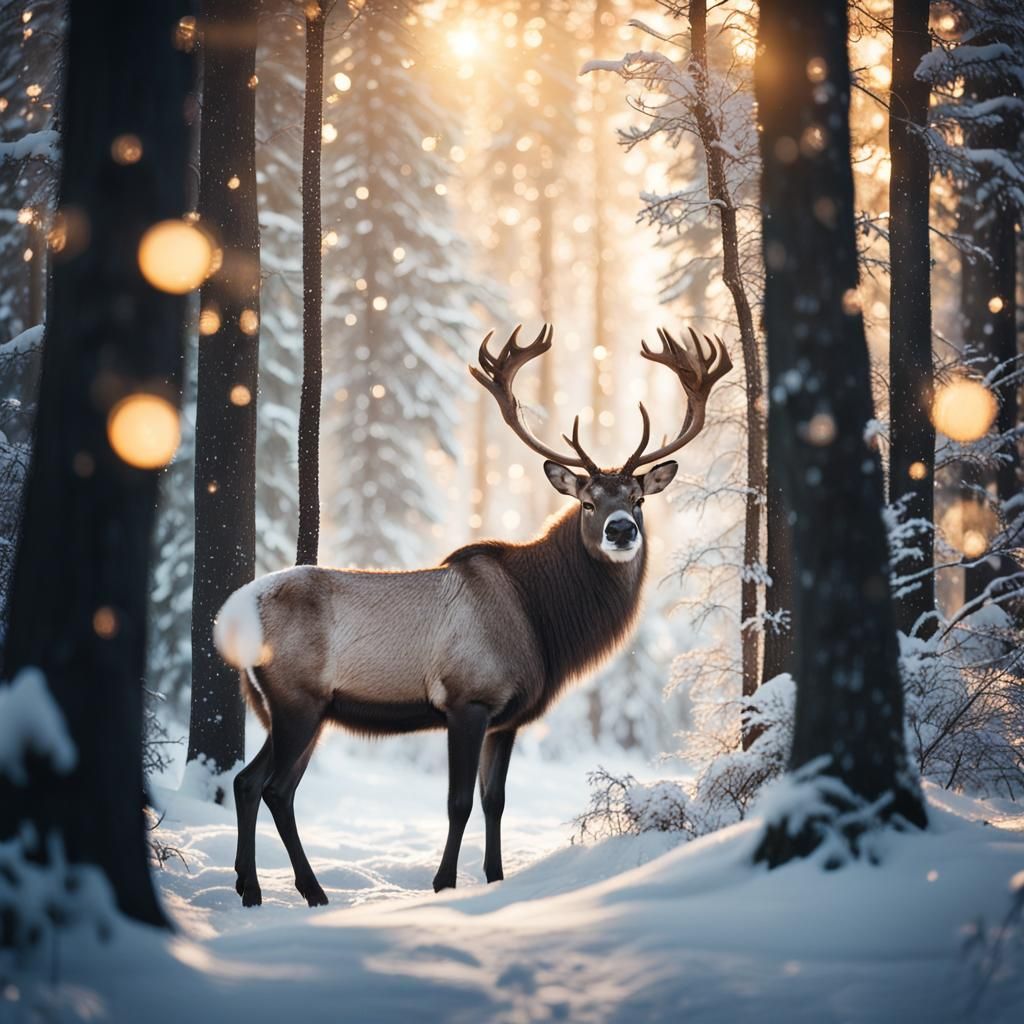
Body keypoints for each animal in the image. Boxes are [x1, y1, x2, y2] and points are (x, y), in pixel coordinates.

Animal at [214, 324, 731, 907]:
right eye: (588, 501)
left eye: (639, 498)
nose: (621, 529)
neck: (542, 624)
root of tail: (231, 618)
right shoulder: (468, 698)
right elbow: (458, 801)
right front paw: (443, 883)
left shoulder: (507, 718)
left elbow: (495, 800)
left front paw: (496, 877)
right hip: (297, 701)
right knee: (274, 788)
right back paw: (304, 890)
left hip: (289, 707)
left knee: (250, 782)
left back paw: (255, 887)